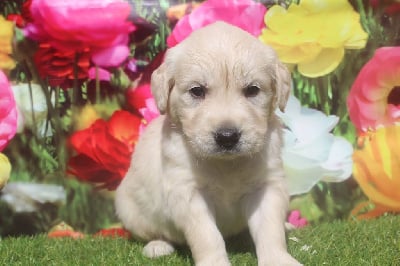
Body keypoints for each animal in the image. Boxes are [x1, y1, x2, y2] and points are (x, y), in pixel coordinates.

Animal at [115, 21, 300, 266]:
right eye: (197, 91)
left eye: (252, 90)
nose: (227, 136)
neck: (227, 164)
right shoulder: (188, 192)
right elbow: (207, 235)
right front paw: (215, 261)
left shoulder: (267, 185)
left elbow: (270, 228)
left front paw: (278, 258)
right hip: (131, 209)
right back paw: (157, 246)